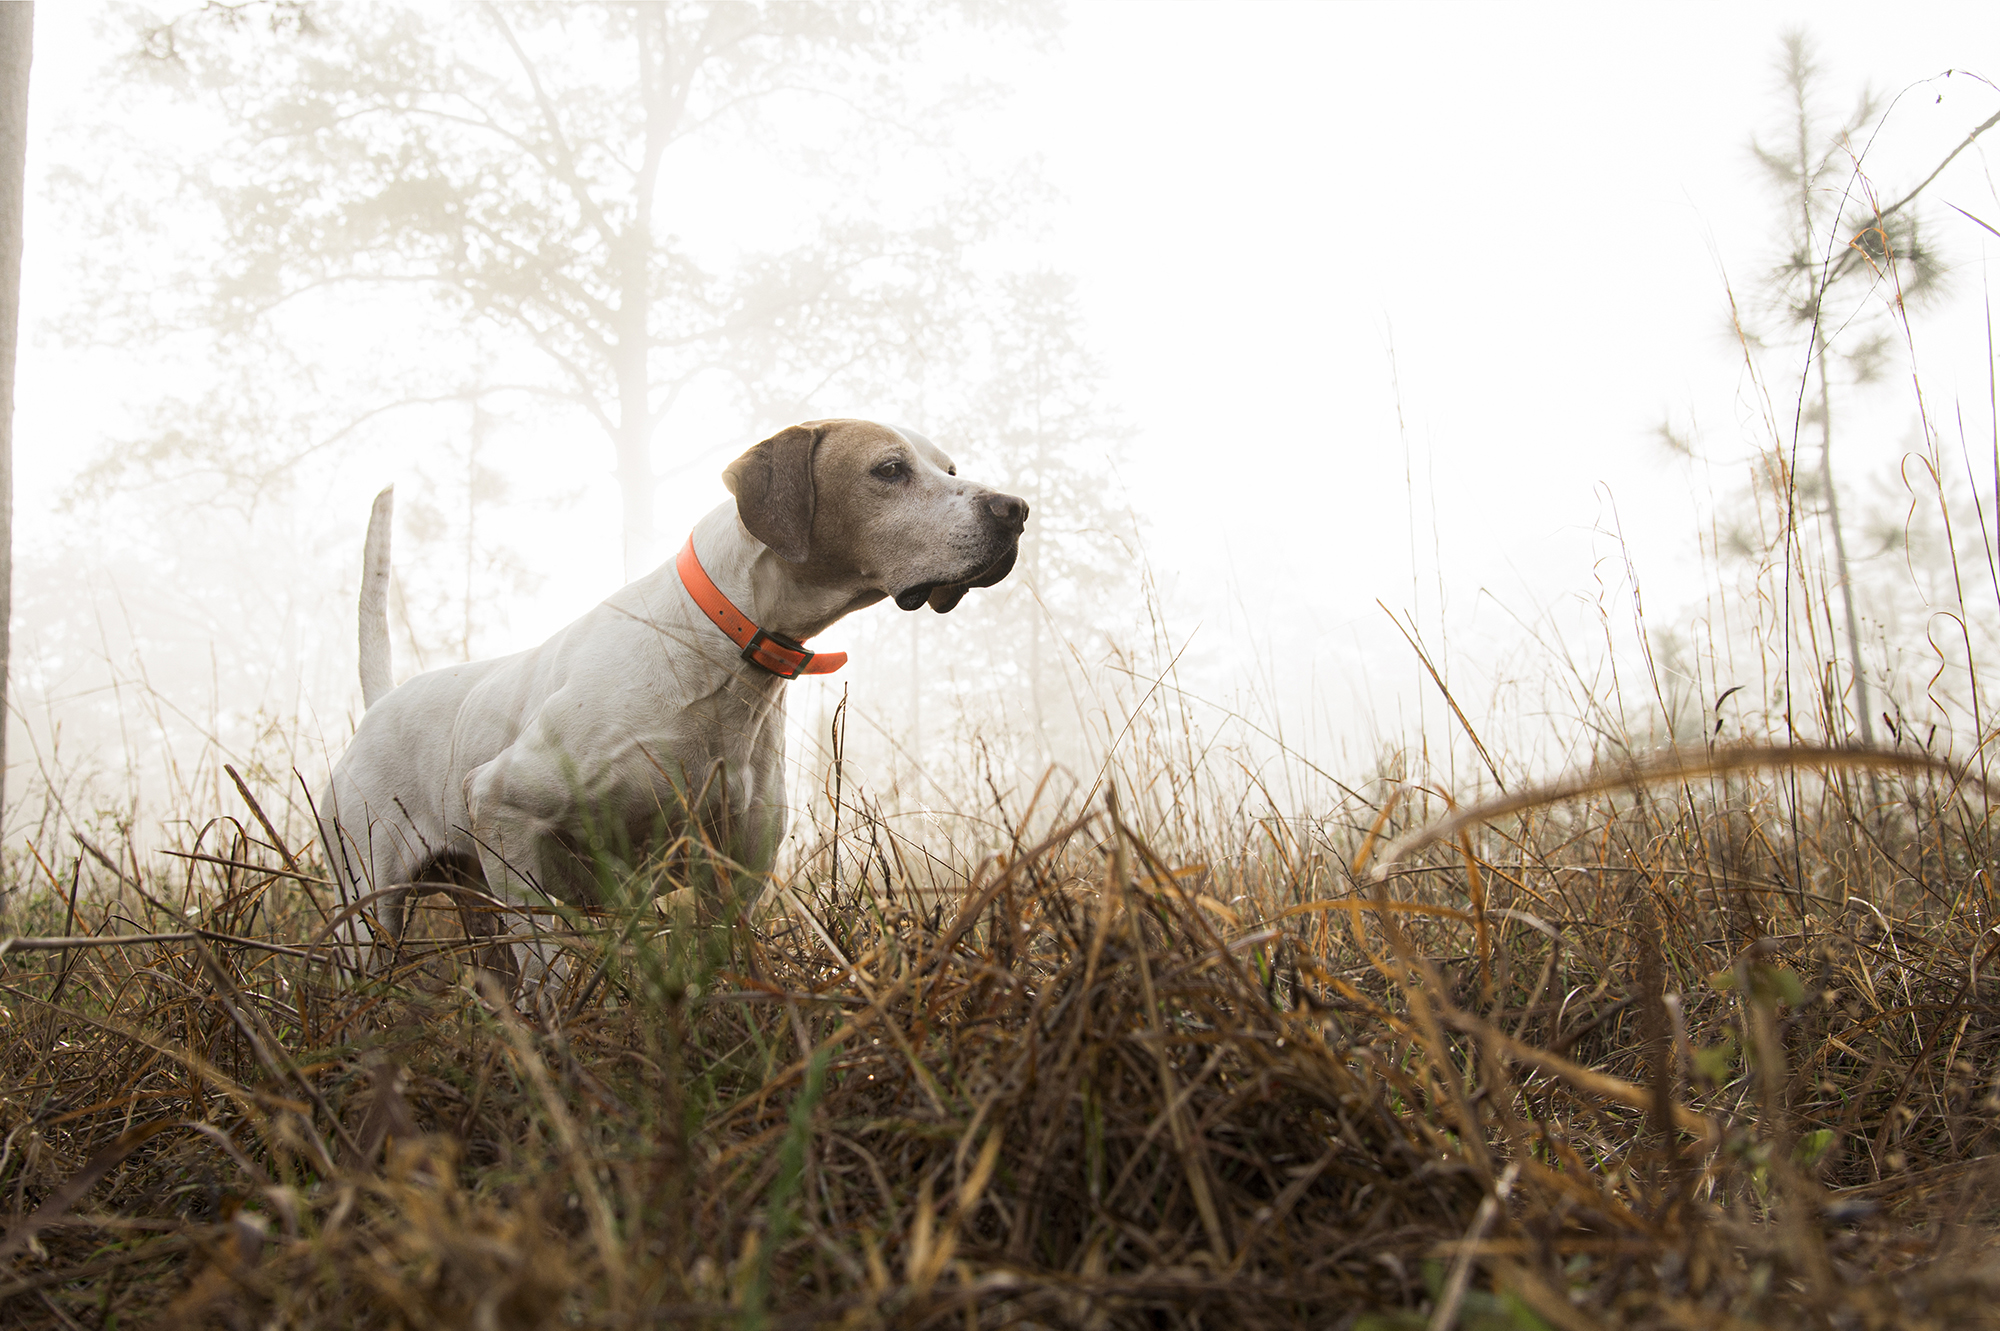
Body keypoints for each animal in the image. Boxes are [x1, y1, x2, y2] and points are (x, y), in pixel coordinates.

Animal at [316, 419, 1032, 979]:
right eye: (889, 470)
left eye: (950, 468)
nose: (1016, 509)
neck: (725, 649)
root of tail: (380, 705)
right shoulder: (503, 807)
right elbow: (547, 963)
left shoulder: (734, 881)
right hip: (367, 904)